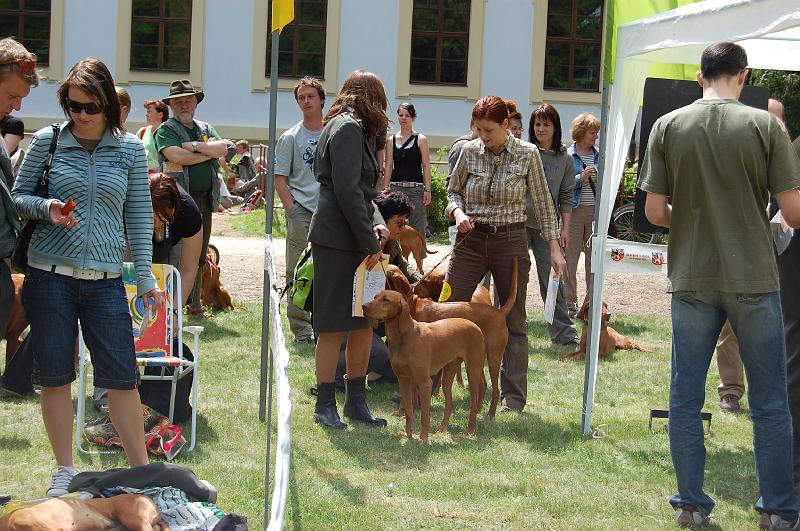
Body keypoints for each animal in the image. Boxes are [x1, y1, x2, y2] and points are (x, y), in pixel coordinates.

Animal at [364, 288, 488, 442]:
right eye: (375, 297)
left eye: (386, 300)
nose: (363, 306)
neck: (403, 337)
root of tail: (475, 325)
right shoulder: (404, 380)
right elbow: (409, 412)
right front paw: (408, 434)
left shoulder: (425, 383)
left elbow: (424, 416)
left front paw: (423, 438)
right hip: (447, 375)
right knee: (449, 404)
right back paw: (443, 428)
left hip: (473, 372)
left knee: (474, 404)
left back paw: (470, 430)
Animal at [386, 258, 520, 420]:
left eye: (426, 281)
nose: (414, 287)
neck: (410, 305)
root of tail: (499, 312)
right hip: (475, 359)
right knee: (483, 384)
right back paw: (478, 410)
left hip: (493, 357)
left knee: (495, 389)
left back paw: (490, 415)